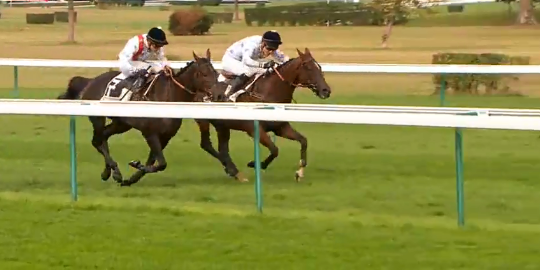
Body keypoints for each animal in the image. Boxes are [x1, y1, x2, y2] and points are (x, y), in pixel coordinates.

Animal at [57, 50, 221, 186]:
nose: (217, 94)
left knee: (103, 137)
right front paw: (135, 165)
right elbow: (161, 163)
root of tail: (90, 81)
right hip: (98, 118)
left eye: (215, 72)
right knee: (97, 140)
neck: (168, 96)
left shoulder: (166, 136)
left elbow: (155, 162)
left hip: (121, 124)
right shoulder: (149, 132)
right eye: (204, 73)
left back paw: (109, 172)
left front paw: (131, 178)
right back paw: (113, 171)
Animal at [194, 48, 330, 182]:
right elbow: (275, 150)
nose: (326, 91)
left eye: (319, 67)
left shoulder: (281, 128)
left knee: (222, 148)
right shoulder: (254, 129)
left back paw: (234, 171)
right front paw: (255, 164)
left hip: (222, 125)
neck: (268, 93)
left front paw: (299, 172)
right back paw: (233, 170)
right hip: (204, 121)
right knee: (206, 144)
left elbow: (303, 141)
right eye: (308, 68)